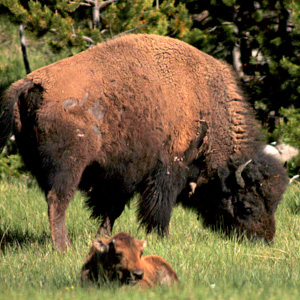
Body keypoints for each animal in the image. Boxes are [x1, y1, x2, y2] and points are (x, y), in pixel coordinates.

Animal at [0, 32, 288, 250]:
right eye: (247, 206)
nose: (264, 240)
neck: (205, 103)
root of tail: (33, 82)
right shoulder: (168, 169)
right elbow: (158, 208)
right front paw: (163, 238)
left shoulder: (121, 178)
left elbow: (111, 210)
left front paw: (104, 239)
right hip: (69, 167)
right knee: (57, 202)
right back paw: (64, 247)